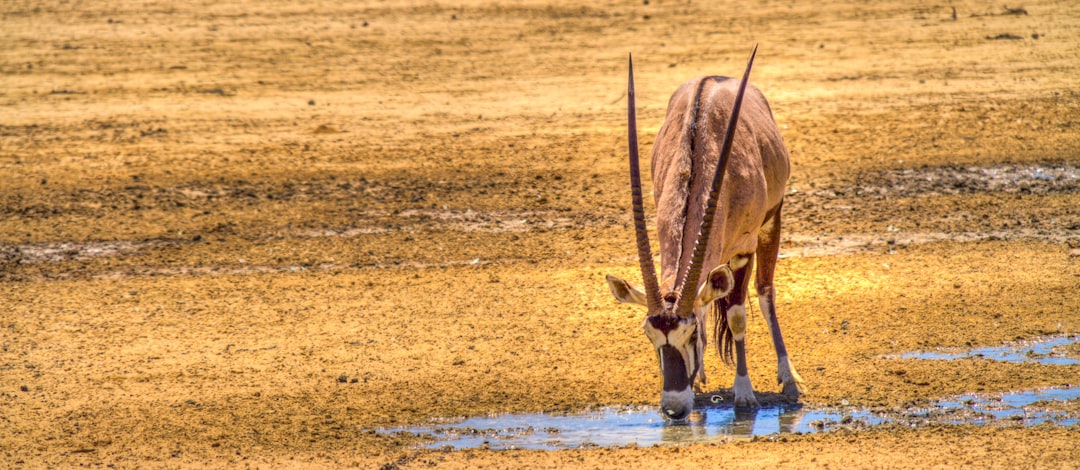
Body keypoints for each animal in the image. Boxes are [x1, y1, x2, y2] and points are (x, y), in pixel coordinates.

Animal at [609, 46, 803, 419]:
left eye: (692, 334)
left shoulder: (744, 250)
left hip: (772, 221)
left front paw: (745, 394)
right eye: (650, 336)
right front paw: (698, 385)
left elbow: (737, 316)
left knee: (765, 291)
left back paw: (788, 378)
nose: (673, 408)